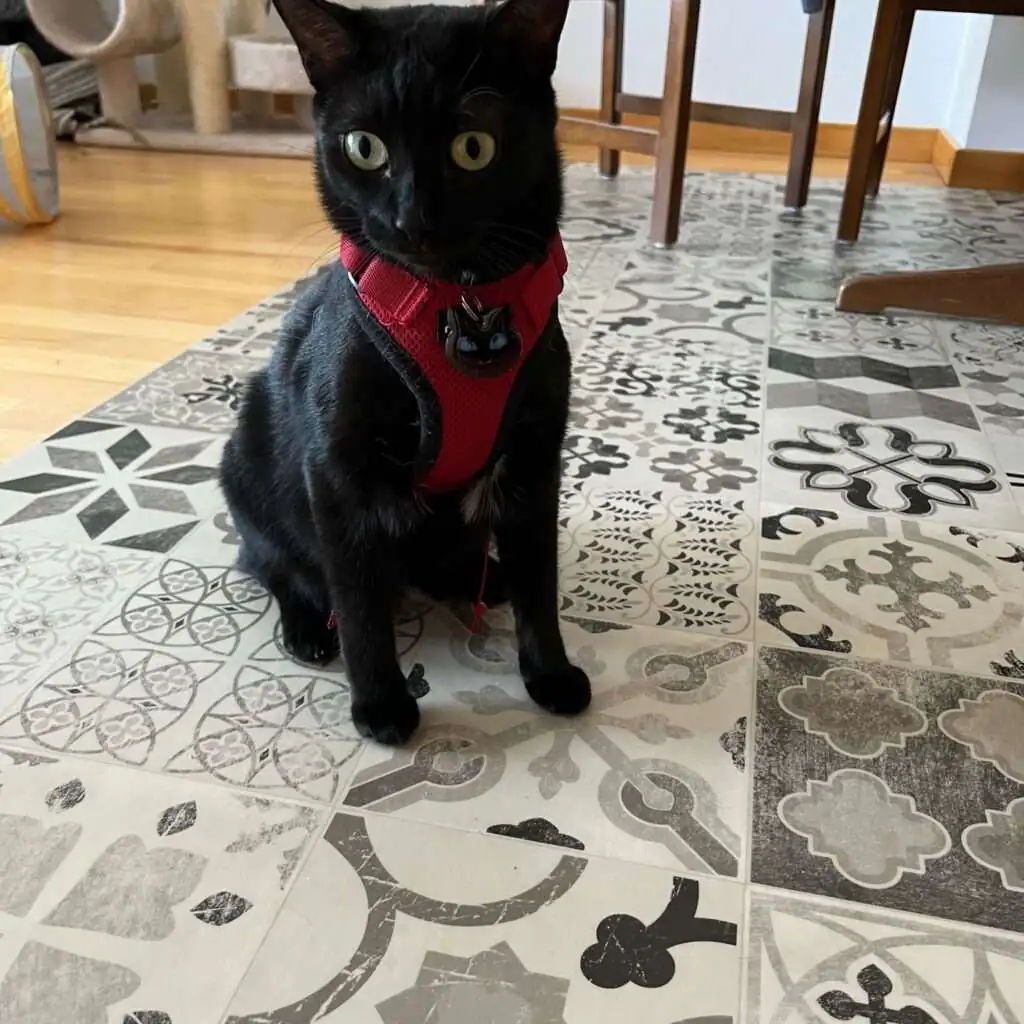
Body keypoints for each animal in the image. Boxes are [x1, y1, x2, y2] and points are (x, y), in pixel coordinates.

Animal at [219, 0, 591, 746]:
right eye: (365, 147)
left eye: (473, 147)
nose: (411, 217)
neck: (460, 301)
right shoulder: (337, 474)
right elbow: (361, 605)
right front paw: (382, 705)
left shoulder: (535, 463)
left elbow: (541, 584)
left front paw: (550, 674)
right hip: (243, 462)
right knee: (273, 564)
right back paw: (308, 627)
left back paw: (482, 578)